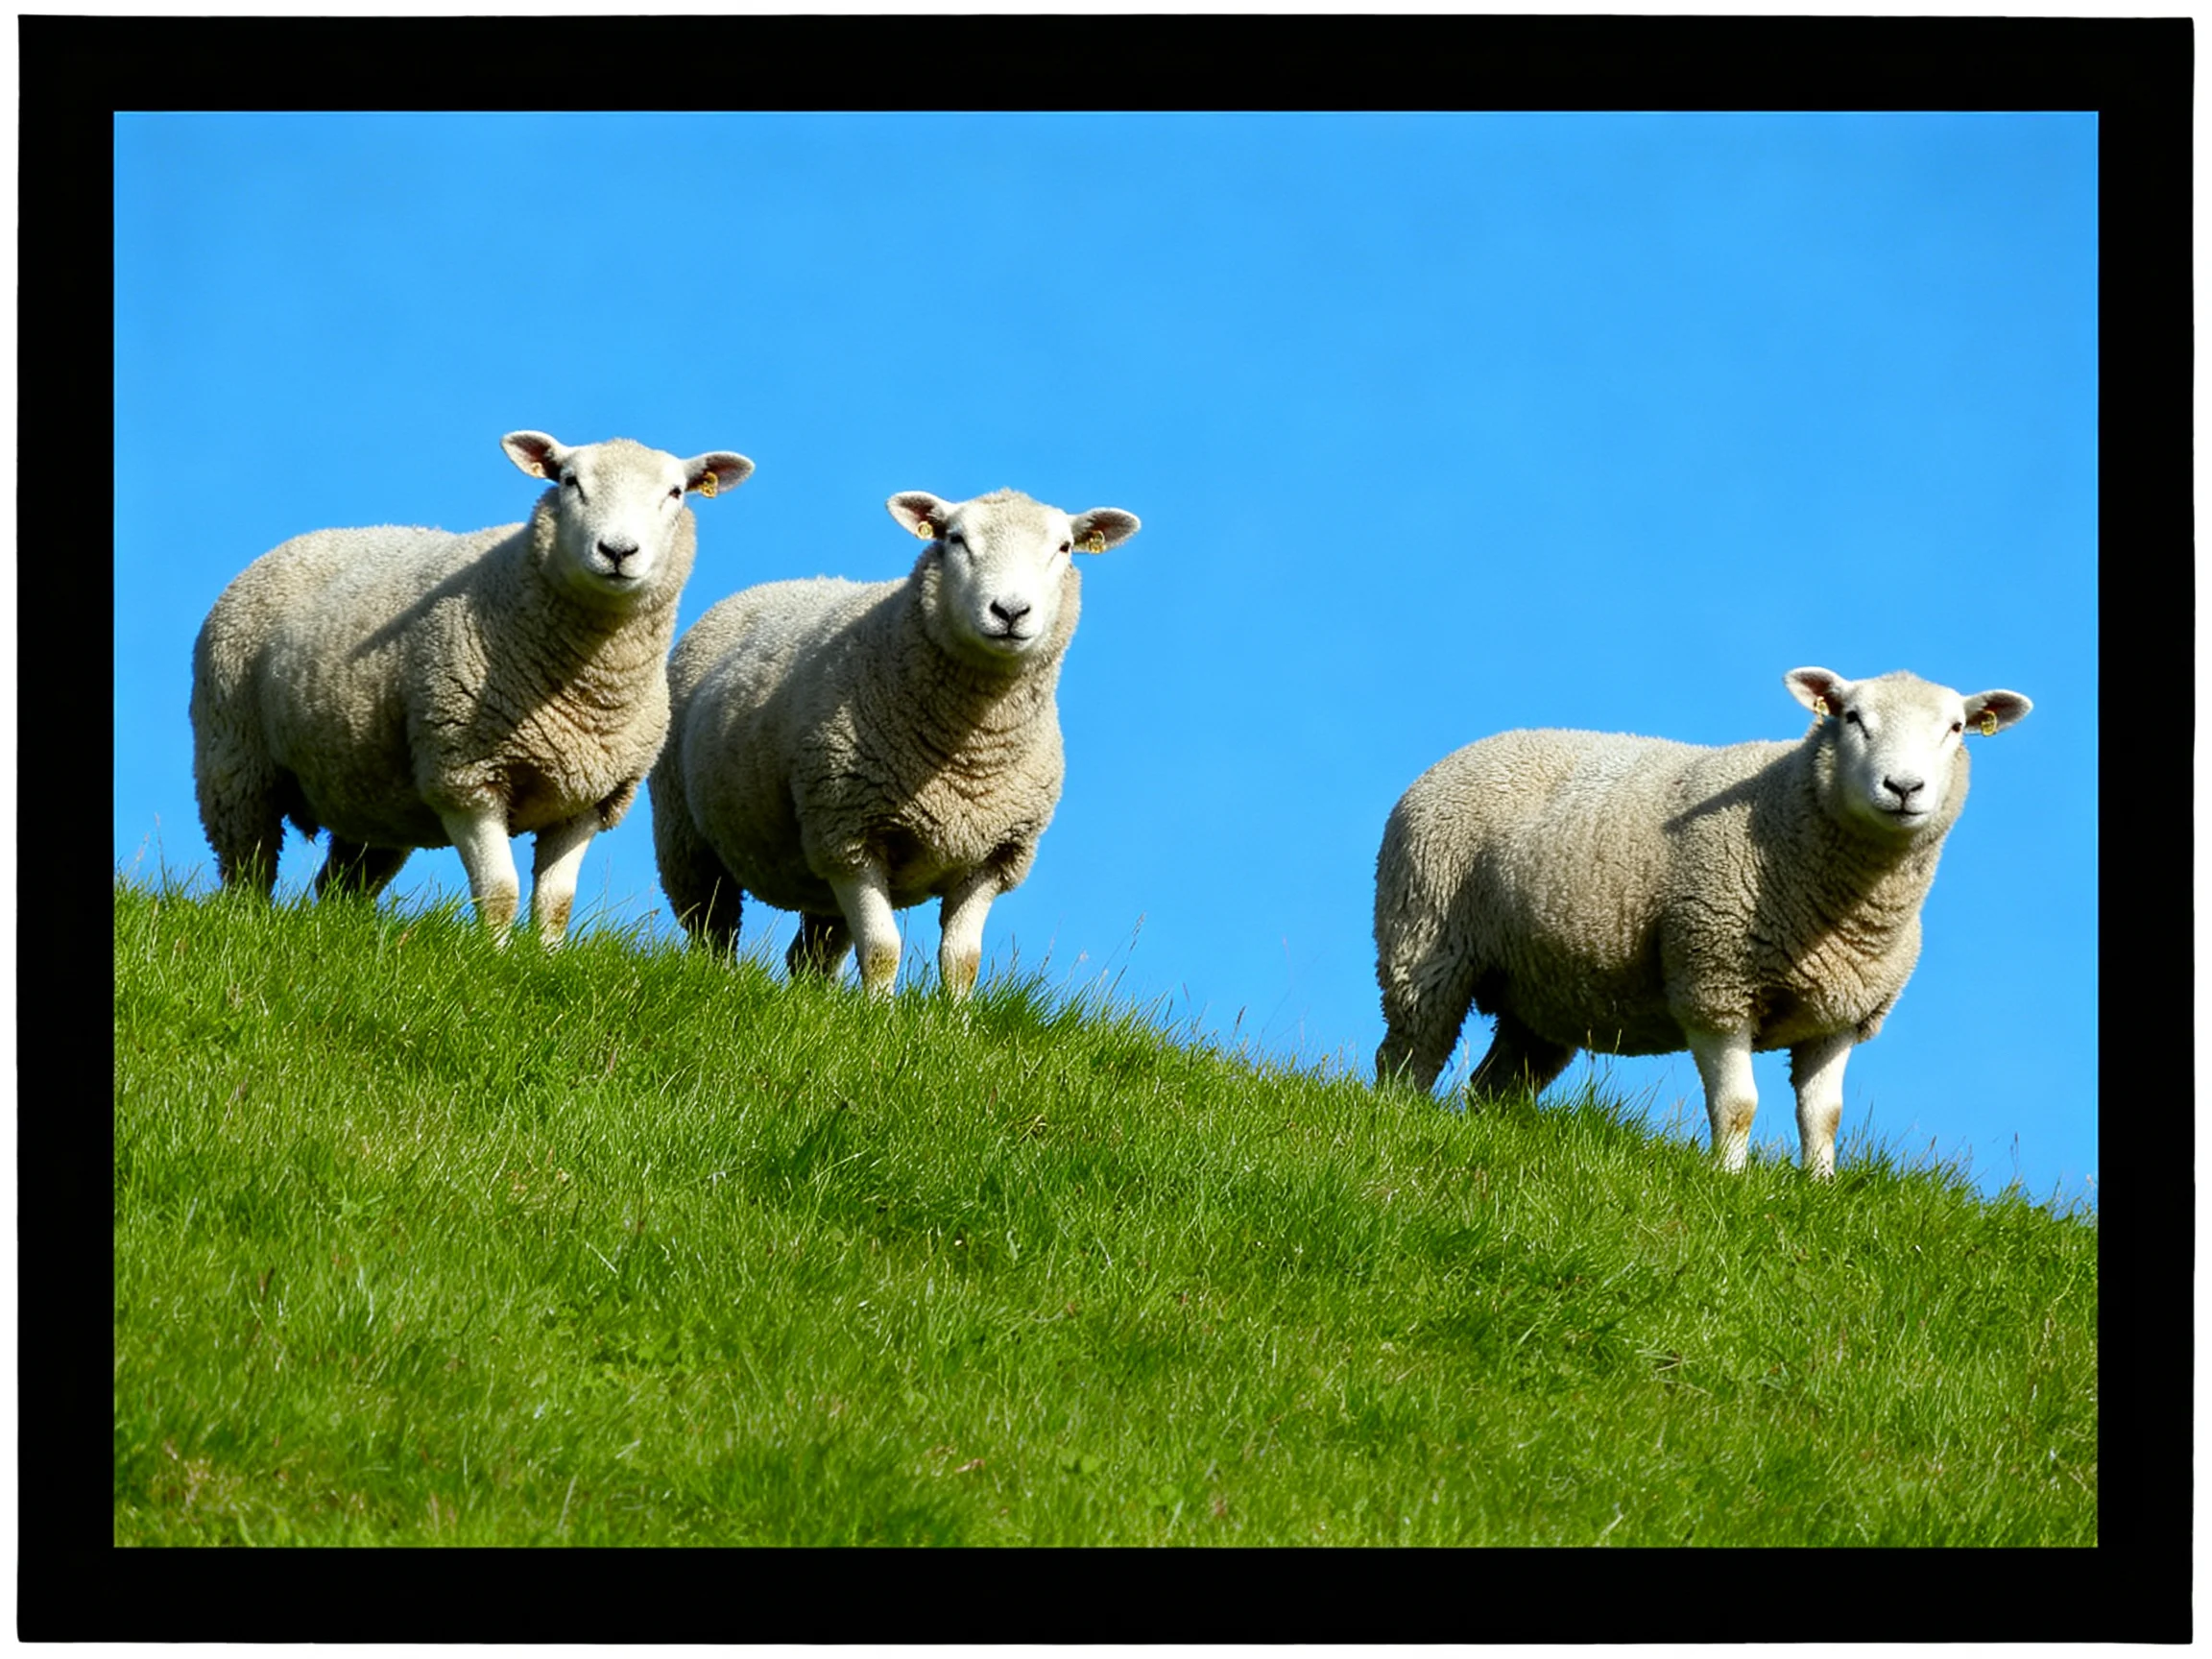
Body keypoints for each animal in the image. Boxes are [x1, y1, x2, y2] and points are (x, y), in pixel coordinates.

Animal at [191, 431, 755, 946]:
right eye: (569, 481)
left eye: (676, 492)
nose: (617, 551)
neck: (586, 693)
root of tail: (303, 541)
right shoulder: (465, 777)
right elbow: (500, 890)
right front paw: (494, 959)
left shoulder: (589, 798)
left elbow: (556, 903)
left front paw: (544, 960)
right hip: (234, 757)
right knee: (247, 865)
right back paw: (248, 923)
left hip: (368, 796)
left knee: (340, 883)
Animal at [650, 486, 1140, 998]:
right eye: (955, 538)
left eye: (1064, 548)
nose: (1009, 612)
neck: (969, 759)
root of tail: (777, 585)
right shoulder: (849, 836)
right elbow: (883, 949)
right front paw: (878, 1015)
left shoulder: (993, 856)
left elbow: (963, 960)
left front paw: (955, 1018)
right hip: (684, 833)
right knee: (713, 928)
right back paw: (718, 984)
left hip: (817, 885)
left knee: (810, 955)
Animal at [1372, 668, 2033, 1178]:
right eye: (1851, 717)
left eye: (1956, 728)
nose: (1903, 787)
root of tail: (1473, 748)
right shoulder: (1714, 982)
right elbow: (1738, 1103)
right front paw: (1729, 1181)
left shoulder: (1840, 1012)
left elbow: (1824, 1116)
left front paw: (1819, 1189)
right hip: (1426, 938)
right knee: (1411, 1052)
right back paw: (1396, 1118)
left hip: (1543, 991)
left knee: (1496, 1081)